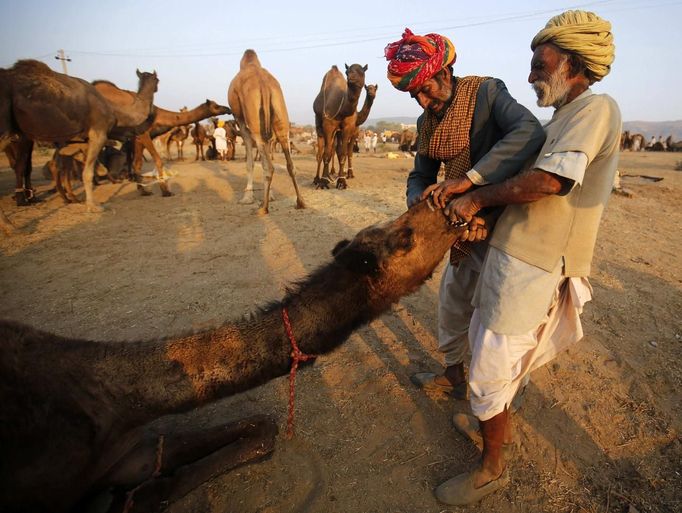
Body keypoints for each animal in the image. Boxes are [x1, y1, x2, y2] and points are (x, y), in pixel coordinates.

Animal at [0, 200, 464, 512]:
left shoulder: (129, 450)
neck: (108, 396)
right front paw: (127, 499)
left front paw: (139, 493)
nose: (444, 205)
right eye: (405, 237)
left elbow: (262, 429)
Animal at [227, 49, 304, 213]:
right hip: (280, 111)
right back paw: (300, 202)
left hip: (254, 119)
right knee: (289, 163)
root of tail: (264, 85)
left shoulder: (240, 118)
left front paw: (247, 198)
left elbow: (250, 162)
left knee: (269, 166)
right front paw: (271, 195)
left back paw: (263, 208)